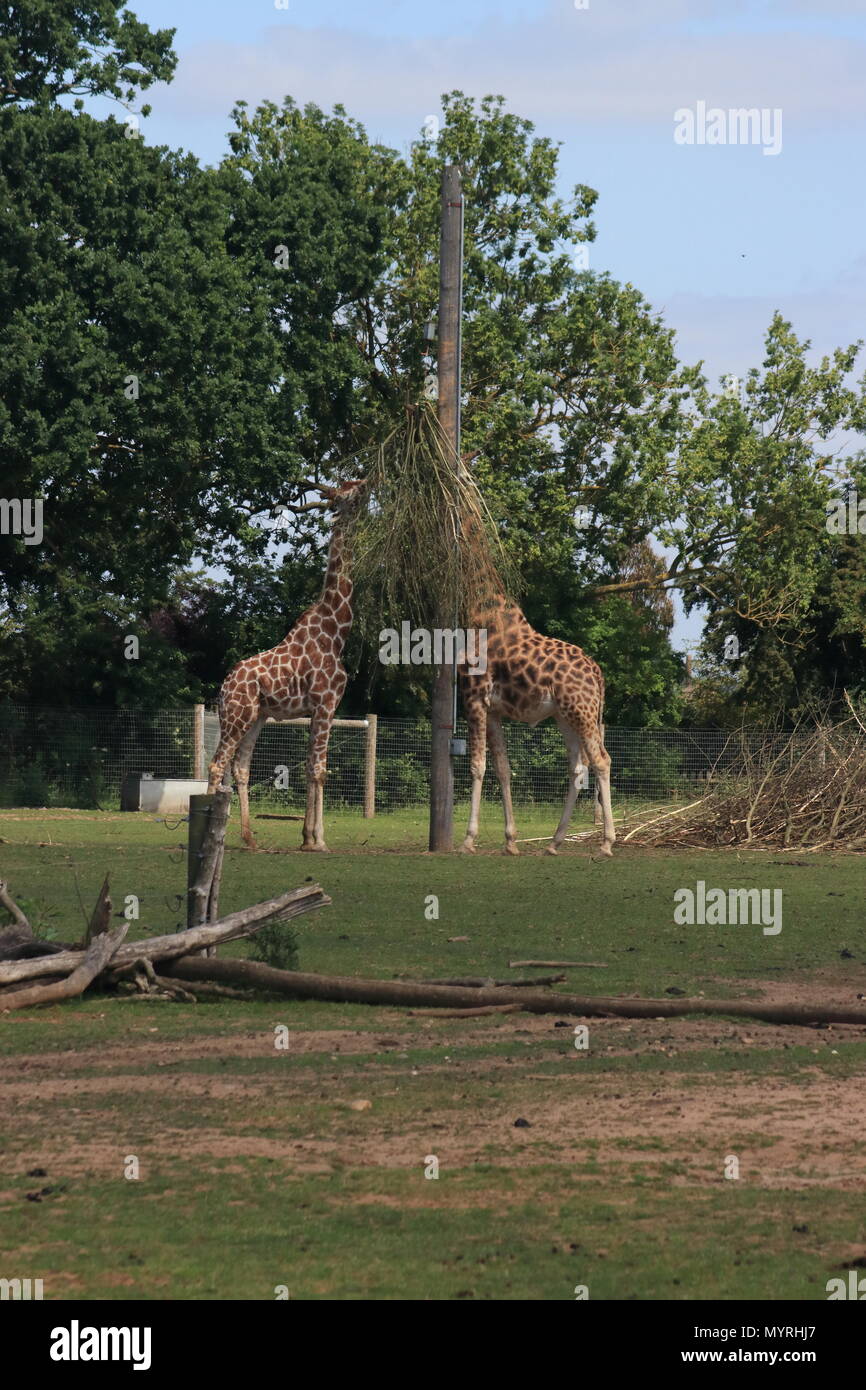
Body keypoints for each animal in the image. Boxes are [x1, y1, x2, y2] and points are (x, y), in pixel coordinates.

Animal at [207, 478, 367, 851]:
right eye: (351, 490)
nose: (370, 483)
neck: (335, 631)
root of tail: (223, 687)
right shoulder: (325, 703)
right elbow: (319, 770)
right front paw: (318, 839)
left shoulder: (322, 708)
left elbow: (312, 767)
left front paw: (307, 836)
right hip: (236, 716)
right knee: (217, 764)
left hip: (256, 716)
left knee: (240, 767)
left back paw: (249, 837)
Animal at [459, 592, 615, 857]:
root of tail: (597, 674)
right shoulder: (493, 711)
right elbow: (502, 767)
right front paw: (510, 841)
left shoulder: (475, 700)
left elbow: (477, 766)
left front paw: (468, 840)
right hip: (565, 716)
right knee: (578, 767)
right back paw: (554, 843)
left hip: (581, 711)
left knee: (601, 760)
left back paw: (606, 844)